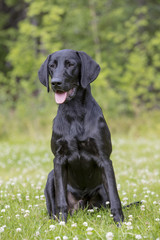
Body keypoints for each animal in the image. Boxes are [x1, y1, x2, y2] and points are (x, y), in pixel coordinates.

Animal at [38, 49, 124, 224]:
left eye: (71, 64)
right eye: (51, 66)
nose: (55, 83)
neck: (75, 113)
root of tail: (82, 204)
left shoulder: (104, 158)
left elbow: (114, 195)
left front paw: (120, 222)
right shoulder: (59, 159)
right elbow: (61, 201)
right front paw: (62, 223)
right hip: (51, 176)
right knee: (53, 208)